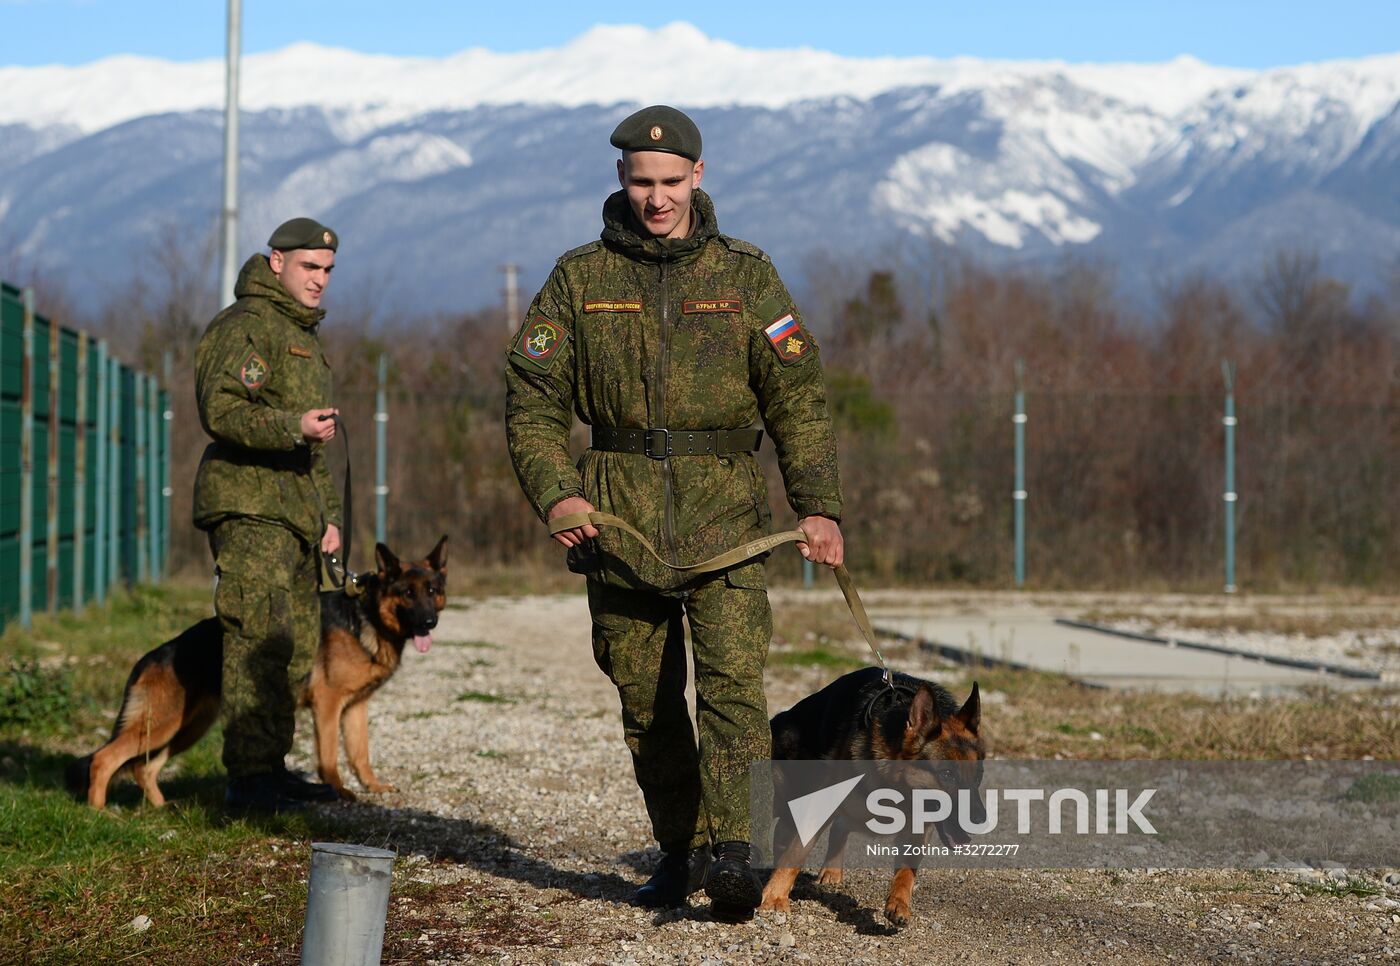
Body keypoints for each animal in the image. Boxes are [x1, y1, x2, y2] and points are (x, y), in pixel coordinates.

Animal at [69, 534, 448, 806]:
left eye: (432, 591)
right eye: (407, 593)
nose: (430, 622)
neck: (366, 616)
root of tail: (152, 656)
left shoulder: (355, 707)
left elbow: (360, 753)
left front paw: (373, 786)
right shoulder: (327, 706)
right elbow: (329, 757)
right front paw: (339, 792)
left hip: (185, 728)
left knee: (144, 768)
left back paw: (161, 809)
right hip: (162, 724)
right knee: (103, 759)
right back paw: (100, 813)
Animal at [756, 660, 985, 924]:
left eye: (978, 775)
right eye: (947, 774)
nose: (980, 820)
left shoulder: (918, 828)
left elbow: (907, 871)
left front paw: (899, 903)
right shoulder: (823, 804)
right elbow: (797, 851)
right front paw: (775, 897)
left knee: (832, 826)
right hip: (783, 794)